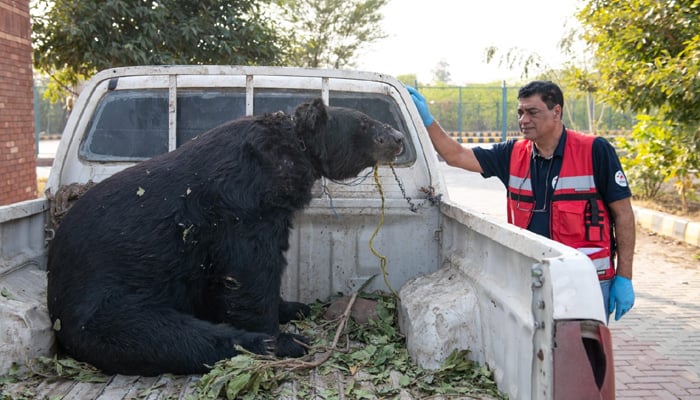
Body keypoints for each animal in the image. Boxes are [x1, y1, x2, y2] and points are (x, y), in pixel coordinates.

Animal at [45, 98, 404, 376]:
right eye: (366, 124)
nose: (399, 138)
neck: (289, 154)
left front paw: (292, 306)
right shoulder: (238, 206)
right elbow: (250, 273)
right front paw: (277, 330)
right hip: (103, 303)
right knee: (169, 337)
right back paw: (275, 344)